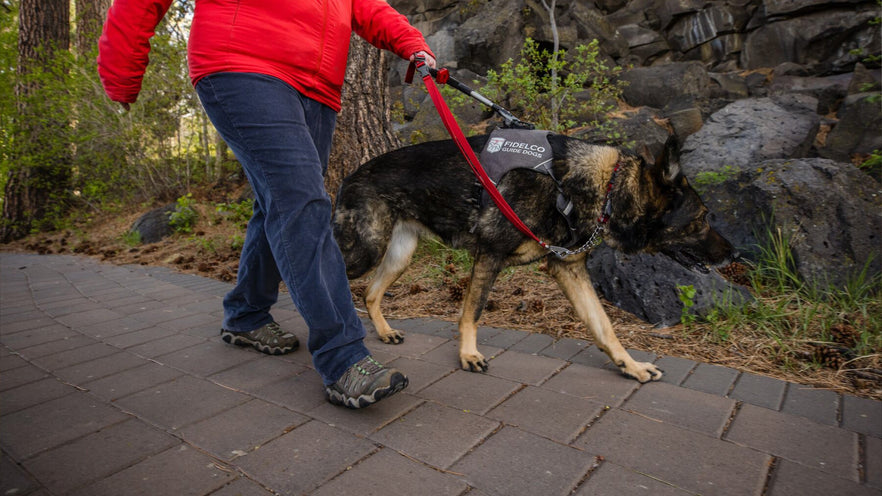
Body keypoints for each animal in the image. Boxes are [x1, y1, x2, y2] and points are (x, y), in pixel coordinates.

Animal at [334, 133, 732, 384]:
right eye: (701, 219)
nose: (734, 254)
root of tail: (349, 175)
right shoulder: (490, 255)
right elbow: (471, 313)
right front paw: (468, 354)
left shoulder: (569, 269)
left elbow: (604, 327)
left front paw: (630, 366)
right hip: (366, 250)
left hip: (400, 255)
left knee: (370, 292)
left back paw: (384, 331)